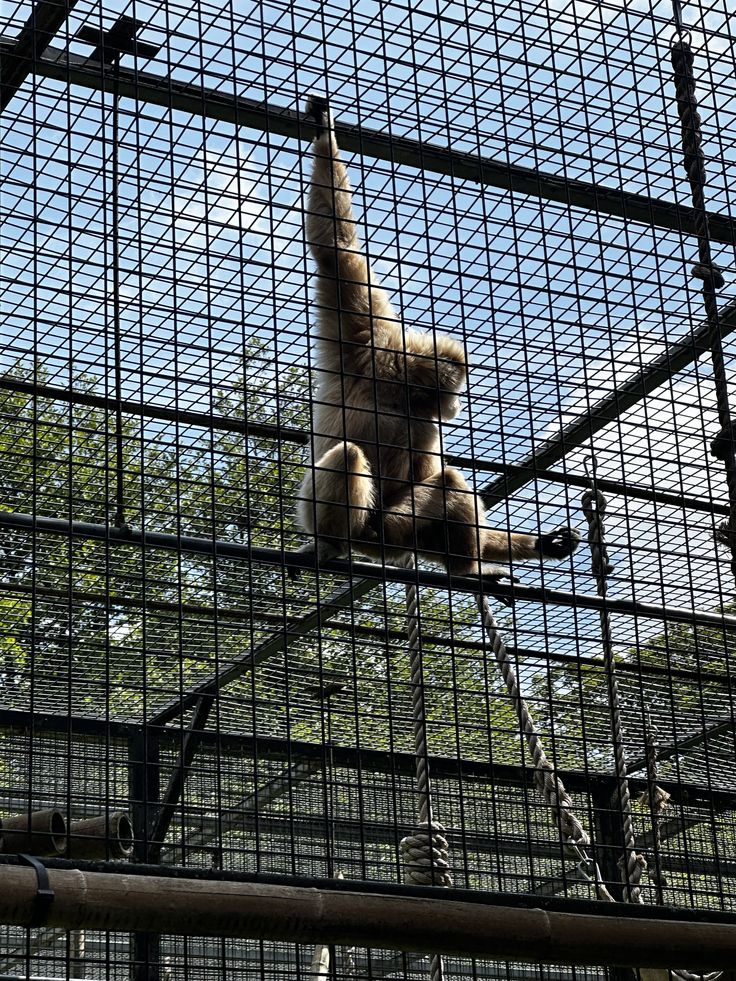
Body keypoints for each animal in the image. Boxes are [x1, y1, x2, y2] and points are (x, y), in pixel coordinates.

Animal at [294, 95, 580, 584]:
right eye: (458, 386)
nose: (457, 404)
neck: (397, 392)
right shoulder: (364, 343)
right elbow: (335, 249)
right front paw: (324, 126)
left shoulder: (411, 402)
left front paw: (543, 544)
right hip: (347, 521)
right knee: (351, 456)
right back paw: (333, 543)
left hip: (393, 531)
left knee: (446, 483)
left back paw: (469, 569)